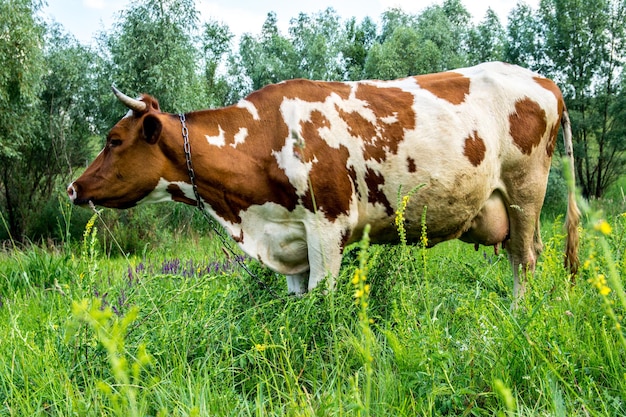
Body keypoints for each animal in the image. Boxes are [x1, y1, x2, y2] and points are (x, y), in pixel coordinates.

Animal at [66, 61, 576, 300]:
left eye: (114, 139)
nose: (73, 188)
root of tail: (546, 82)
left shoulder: (328, 227)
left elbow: (323, 300)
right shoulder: (287, 238)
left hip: (526, 192)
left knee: (525, 260)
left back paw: (518, 316)